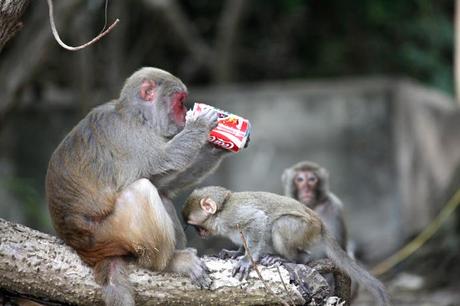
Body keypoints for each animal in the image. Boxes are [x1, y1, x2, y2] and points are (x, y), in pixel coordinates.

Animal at [45, 67, 229, 306]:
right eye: (180, 102)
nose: (184, 115)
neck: (137, 116)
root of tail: (83, 248)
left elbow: (162, 180)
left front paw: (218, 145)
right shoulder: (130, 136)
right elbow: (164, 160)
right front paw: (201, 125)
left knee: (160, 193)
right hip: (108, 234)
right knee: (143, 190)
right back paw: (168, 262)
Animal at [181, 186, 390, 306]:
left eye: (195, 225)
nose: (198, 233)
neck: (221, 209)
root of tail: (320, 224)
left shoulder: (231, 215)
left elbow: (258, 220)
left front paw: (247, 260)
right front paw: (235, 253)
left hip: (306, 229)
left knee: (281, 225)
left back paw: (289, 258)